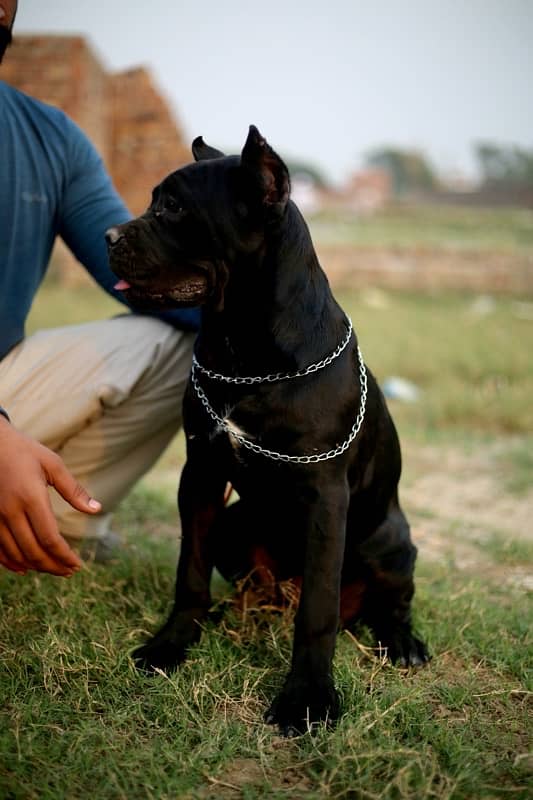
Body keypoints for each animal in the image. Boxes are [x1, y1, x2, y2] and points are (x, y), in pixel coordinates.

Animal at [105, 126, 428, 736]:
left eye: (173, 206)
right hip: (237, 523)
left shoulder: (326, 498)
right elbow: (189, 571)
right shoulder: (201, 474)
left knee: (385, 605)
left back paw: (402, 643)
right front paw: (171, 645)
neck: (246, 350)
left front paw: (307, 698)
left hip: (391, 544)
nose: (109, 235)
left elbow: (318, 612)